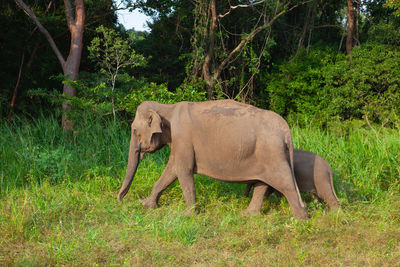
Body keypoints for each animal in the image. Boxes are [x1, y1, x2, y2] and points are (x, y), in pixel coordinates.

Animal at [117, 100, 308, 220]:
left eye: (134, 130)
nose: (119, 199)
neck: (166, 109)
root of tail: (286, 129)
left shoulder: (182, 138)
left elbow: (182, 170)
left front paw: (189, 215)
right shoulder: (179, 143)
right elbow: (171, 170)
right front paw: (147, 205)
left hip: (273, 153)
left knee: (285, 183)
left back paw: (300, 220)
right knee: (262, 184)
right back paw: (248, 215)